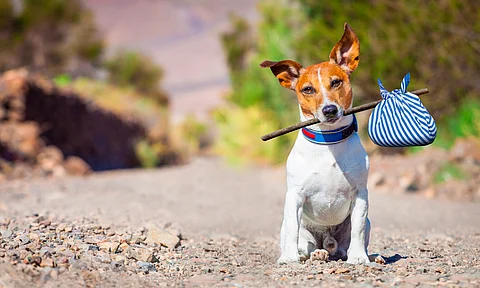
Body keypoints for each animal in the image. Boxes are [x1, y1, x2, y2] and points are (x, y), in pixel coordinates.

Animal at [262, 23, 372, 264]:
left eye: (336, 82)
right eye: (308, 89)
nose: (329, 110)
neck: (329, 141)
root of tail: (327, 242)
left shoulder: (360, 193)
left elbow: (358, 227)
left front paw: (360, 258)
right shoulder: (294, 195)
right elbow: (293, 229)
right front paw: (289, 258)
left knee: (345, 246)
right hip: (297, 231)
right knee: (306, 245)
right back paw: (316, 253)